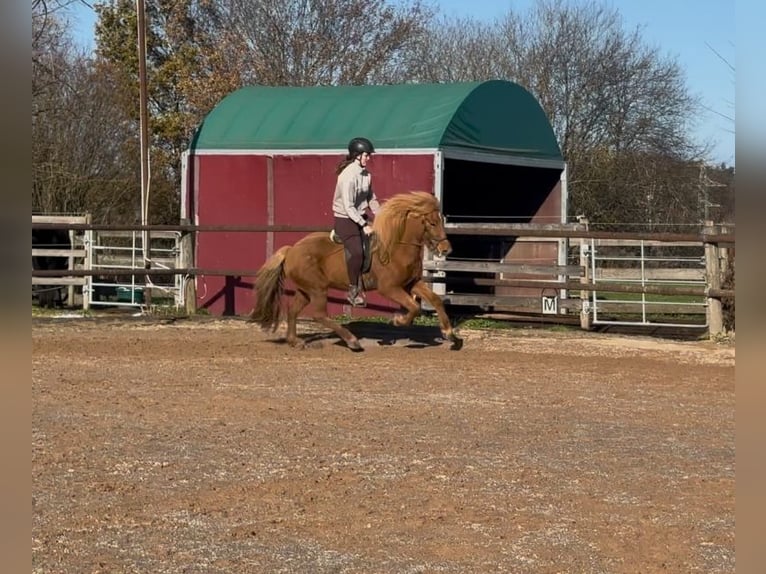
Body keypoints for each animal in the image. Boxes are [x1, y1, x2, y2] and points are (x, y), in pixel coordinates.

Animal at [249, 191, 464, 352]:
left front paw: (450, 334)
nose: (447, 249)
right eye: (432, 223)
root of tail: (291, 250)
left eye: (441, 221)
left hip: (306, 290)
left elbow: (435, 300)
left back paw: (295, 342)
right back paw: (352, 341)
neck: (397, 247)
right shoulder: (389, 288)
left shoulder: (411, 283)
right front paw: (398, 321)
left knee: (293, 311)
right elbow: (414, 307)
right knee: (319, 314)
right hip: (318, 289)